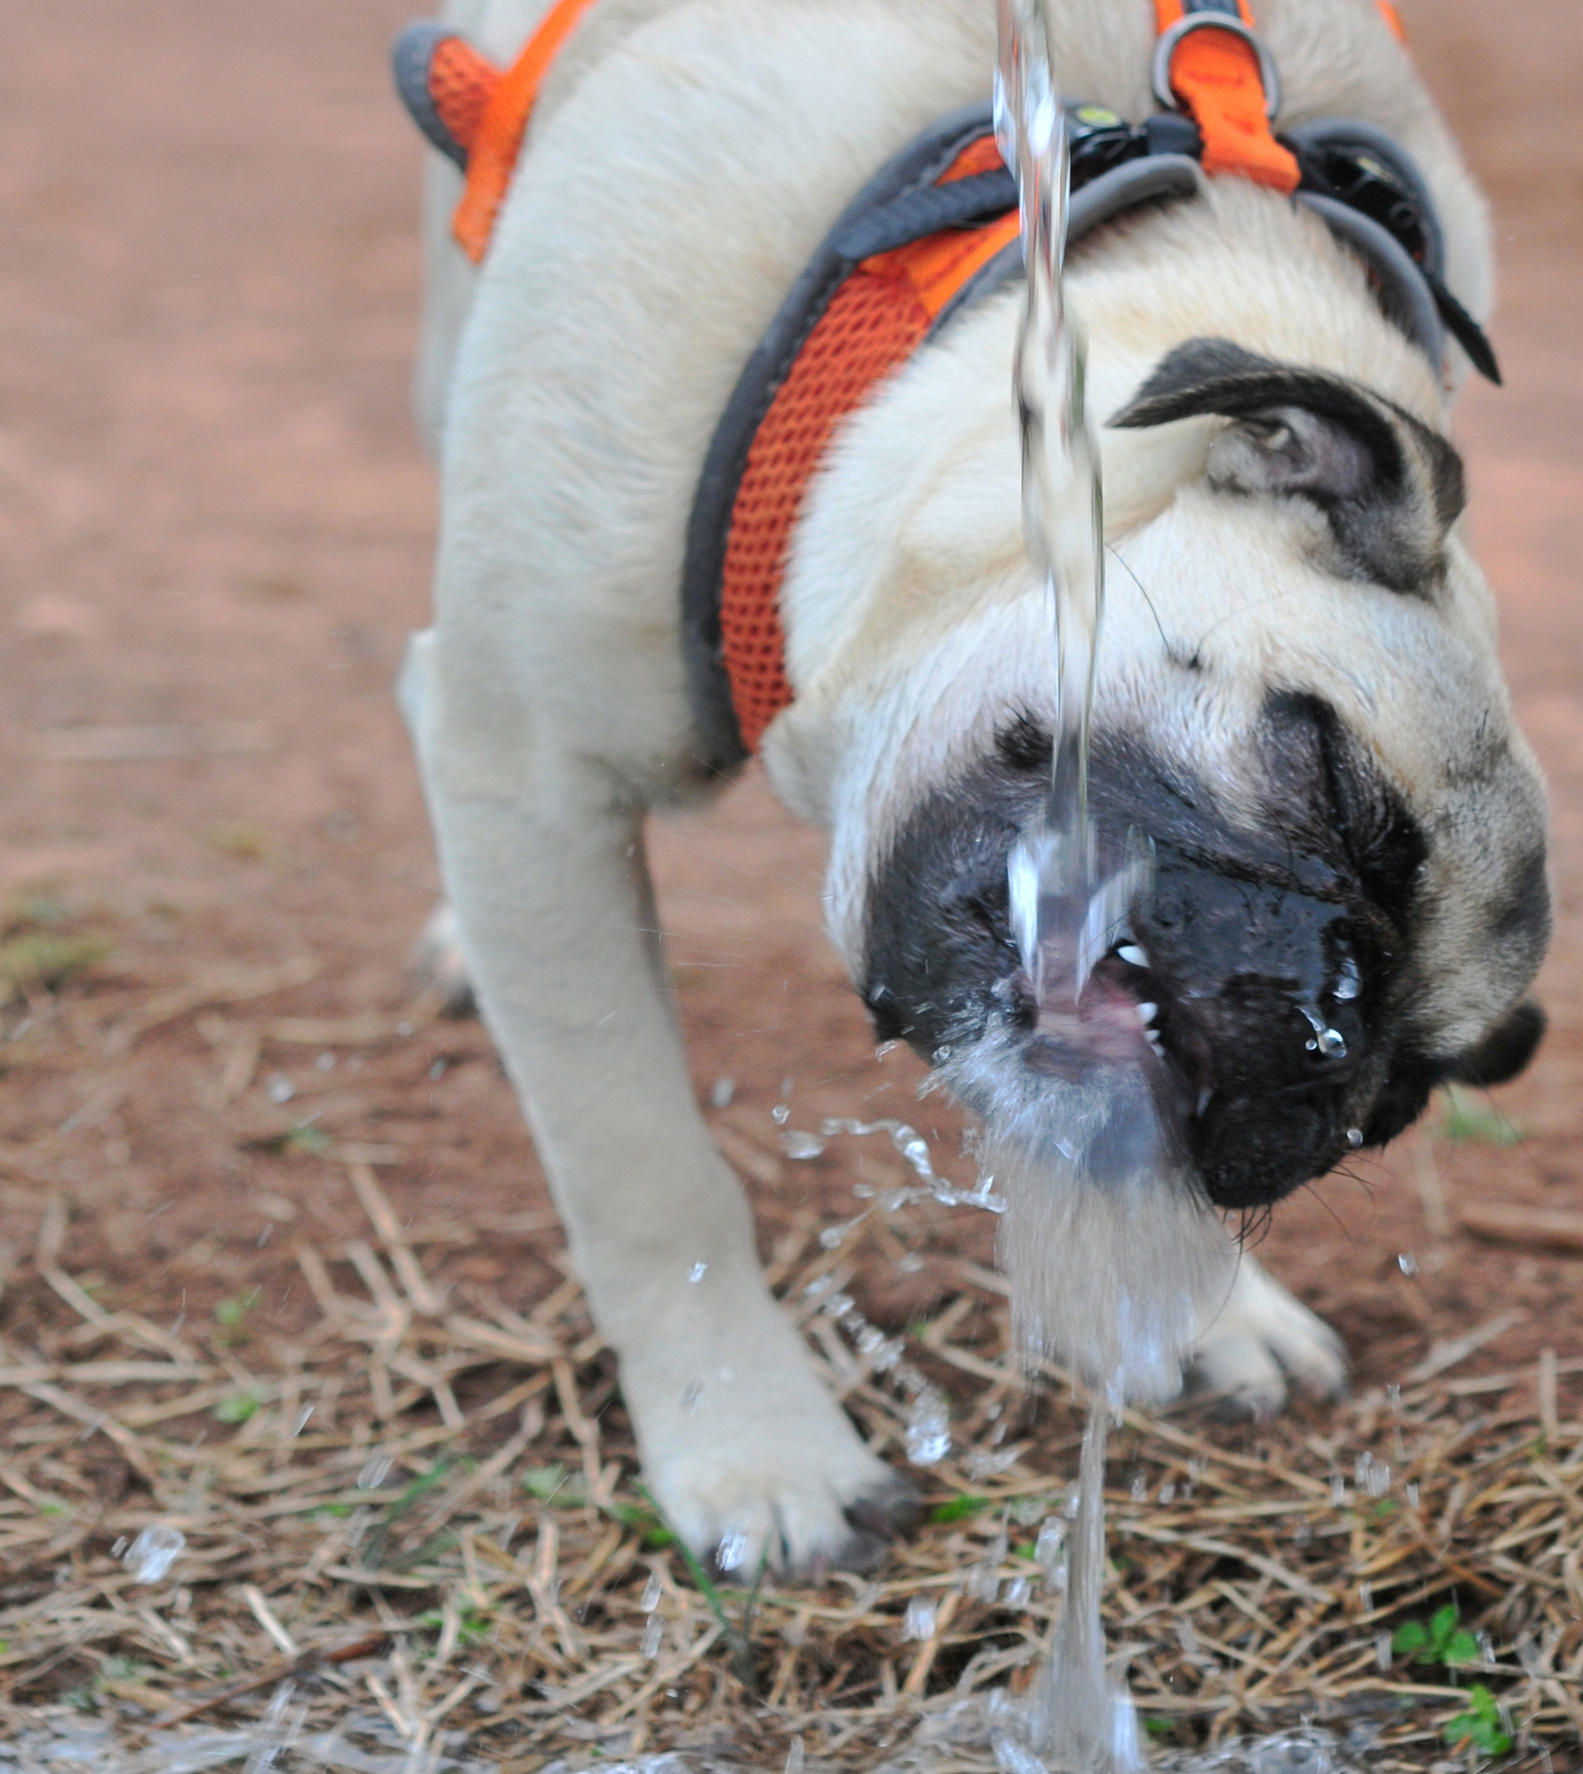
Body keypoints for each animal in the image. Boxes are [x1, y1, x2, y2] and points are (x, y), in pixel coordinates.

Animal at [395, 0, 1547, 1582]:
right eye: (1322, 773)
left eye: (1395, 1107)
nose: (1333, 1011)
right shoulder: (529, 776)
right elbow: (647, 1173)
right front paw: (756, 1442)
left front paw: (1197, 1317)